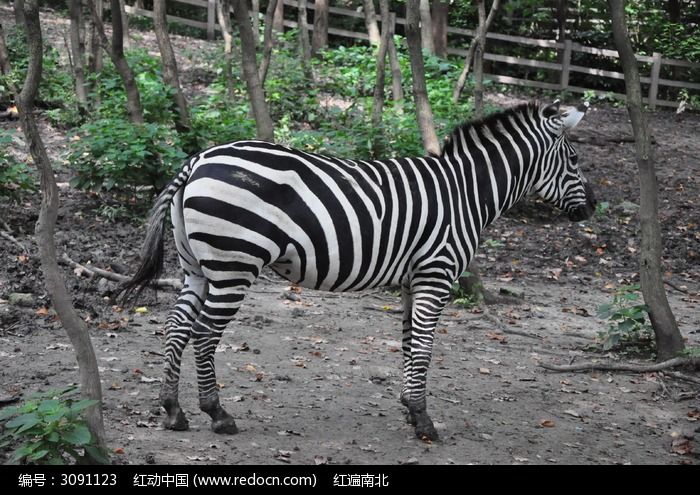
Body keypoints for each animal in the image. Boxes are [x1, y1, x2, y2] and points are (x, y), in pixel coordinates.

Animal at [121, 101, 596, 442]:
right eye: (573, 159)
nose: (593, 207)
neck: (465, 192)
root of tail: (197, 160)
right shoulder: (436, 274)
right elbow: (425, 347)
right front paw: (425, 421)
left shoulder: (412, 280)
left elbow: (408, 344)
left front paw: (410, 409)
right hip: (234, 265)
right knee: (204, 334)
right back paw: (217, 414)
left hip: (197, 266)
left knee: (177, 326)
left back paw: (173, 410)